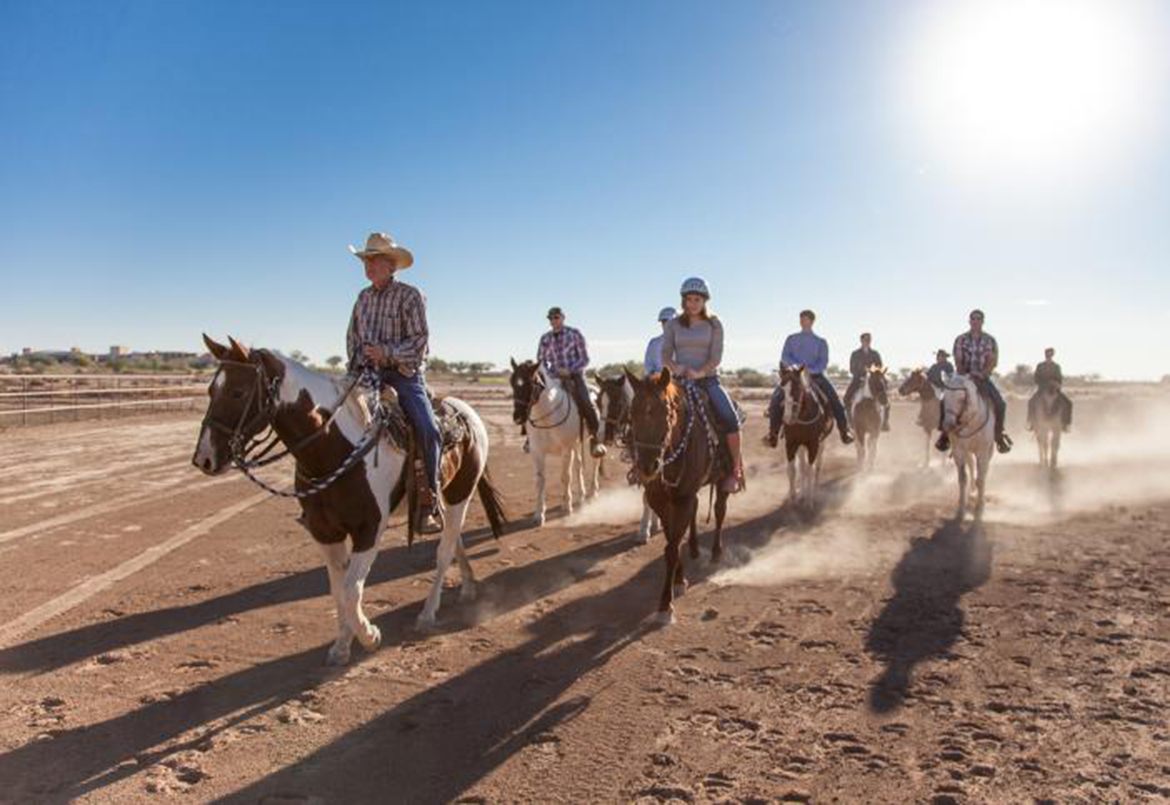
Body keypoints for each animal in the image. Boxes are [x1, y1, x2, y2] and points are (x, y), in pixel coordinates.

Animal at [191, 336, 503, 664]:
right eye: (211, 390)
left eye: (238, 392)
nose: (203, 458)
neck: (334, 451)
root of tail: (465, 410)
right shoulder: (324, 532)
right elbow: (338, 590)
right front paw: (342, 645)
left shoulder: (369, 529)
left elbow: (353, 590)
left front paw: (369, 636)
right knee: (454, 541)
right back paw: (467, 587)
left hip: (460, 493)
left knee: (443, 552)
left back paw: (428, 614)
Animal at [510, 360, 599, 528]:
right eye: (512, 383)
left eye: (531, 383)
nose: (518, 417)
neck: (547, 417)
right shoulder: (538, 452)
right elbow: (540, 481)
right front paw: (539, 514)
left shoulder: (566, 450)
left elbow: (565, 477)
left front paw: (567, 507)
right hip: (576, 444)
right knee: (579, 465)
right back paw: (581, 495)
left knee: (596, 462)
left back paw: (593, 492)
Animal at [627, 367, 725, 627]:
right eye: (632, 412)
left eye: (667, 411)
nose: (647, 467)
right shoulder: (661, 501)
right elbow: (672, 539)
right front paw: (679, 581)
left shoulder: (682, 499)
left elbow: (671, 548)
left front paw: (665, 606)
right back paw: (694, 548)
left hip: (723, 480)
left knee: (719, 512)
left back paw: (716, 552)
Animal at [776, 367, 833, 510]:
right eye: (782, 388)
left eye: (797, 387)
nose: (787, 418)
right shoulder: (791, 444)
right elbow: (792, 470)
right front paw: (793, 499)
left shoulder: (813, 445)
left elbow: (810, 470)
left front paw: (809, 501)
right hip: (801, 445)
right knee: (802, 467)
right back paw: (802, 493)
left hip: (822, 443)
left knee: (817, 467)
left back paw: (814, 492)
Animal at [940, 376, 996, 521]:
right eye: (945, 397)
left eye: (961, 398)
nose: (948, 425)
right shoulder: (959, 451)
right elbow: (962, 478)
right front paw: (961, 509)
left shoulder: (982, 452)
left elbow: (981, 478)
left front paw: (979, 510)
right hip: (968, 451)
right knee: (971, 465)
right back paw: (972, 489)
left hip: (988, 451)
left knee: (984, 472)